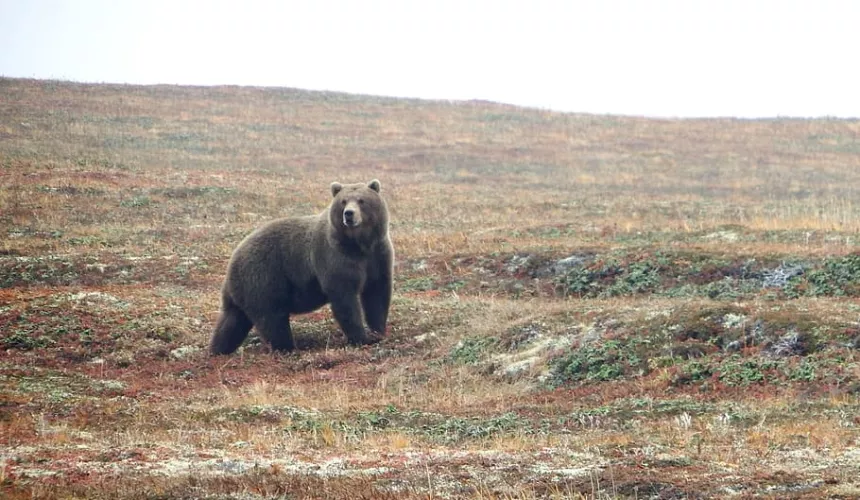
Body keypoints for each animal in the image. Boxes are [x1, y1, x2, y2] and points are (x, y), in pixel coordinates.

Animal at [210, 178, 394, 354]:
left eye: (362, 200)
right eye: (343, 201)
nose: (349, 214)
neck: (359, 244)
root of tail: (233, 258)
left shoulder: (377, 256)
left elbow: (377, 293)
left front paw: (378, 331)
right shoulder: (335, 256)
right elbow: (345, 297)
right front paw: (361, 337)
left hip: (242, 290)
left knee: (232, 321)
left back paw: (218, 349)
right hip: (263, 277)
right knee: (272, 318)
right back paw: (287, 348)